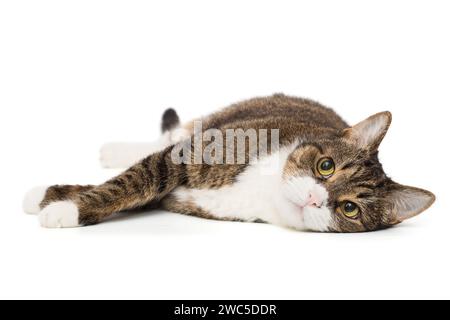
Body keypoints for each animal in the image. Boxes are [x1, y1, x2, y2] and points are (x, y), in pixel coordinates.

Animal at [22, 94, 434, 231]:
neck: (265, 189)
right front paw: (47, 198)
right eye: (326, 167)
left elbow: (134, 189)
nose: (315, 198)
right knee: (171, 135)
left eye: (349, 209)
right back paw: (114, 150)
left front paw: (63, 205)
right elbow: (132, 180)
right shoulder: (189, 156)